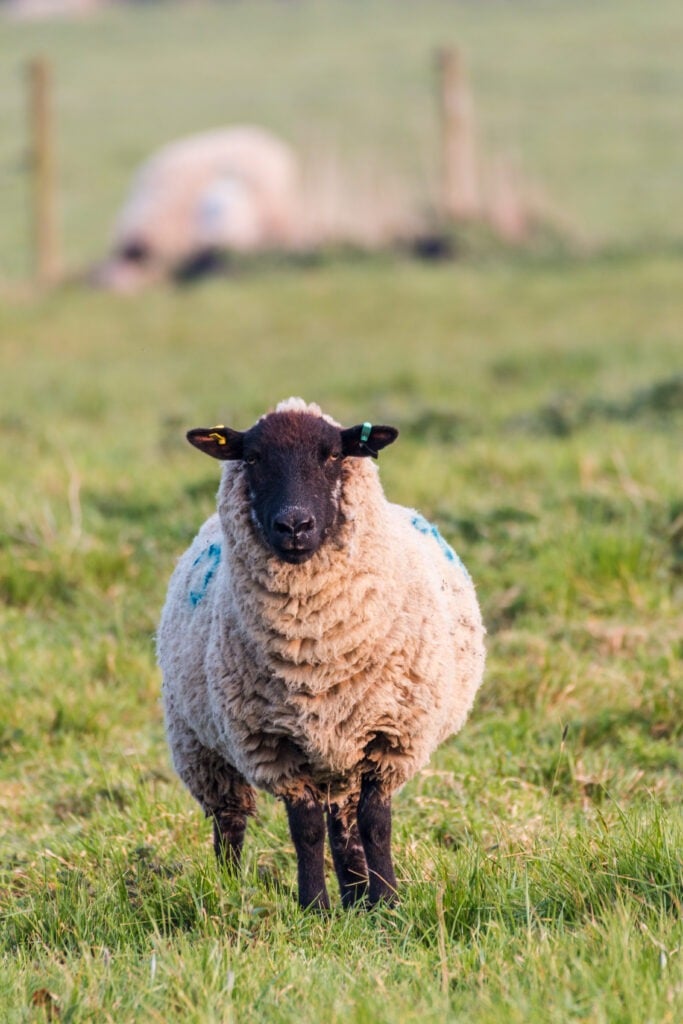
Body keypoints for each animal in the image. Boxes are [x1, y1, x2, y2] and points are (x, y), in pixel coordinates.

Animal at [157, 397, 485, 909]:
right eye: (253, 457)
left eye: (331, 454)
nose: (294, 525)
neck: (315, 647)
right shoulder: (274, 742)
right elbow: (306, 829)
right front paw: (314, 906)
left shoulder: (389, 736)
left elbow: (375, 824)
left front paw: (387, 900)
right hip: (198, 743)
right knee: (230, 820)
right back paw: (230, 888)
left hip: (341, 749)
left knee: (344, 821)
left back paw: (357, 896)